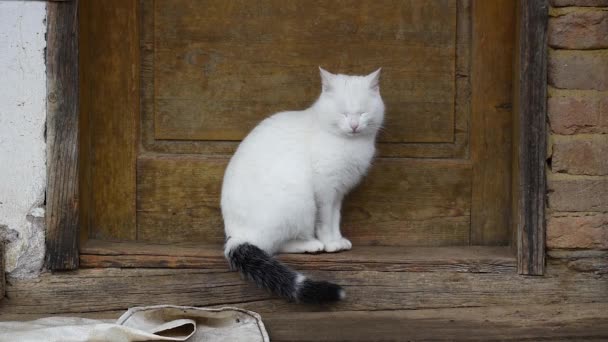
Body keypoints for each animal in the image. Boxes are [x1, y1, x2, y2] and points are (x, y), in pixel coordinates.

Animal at [223, 68, 384, 304]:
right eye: (343, 113)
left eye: (362, 113)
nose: (354, 125)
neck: (350, 144)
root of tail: (236, 236)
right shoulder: (325, 189)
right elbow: (325, 220)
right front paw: (330, 243)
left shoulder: (338, 192)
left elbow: (335, 217)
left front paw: (337, 239)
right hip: (300, 202)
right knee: (274, 245)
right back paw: (311, 245)